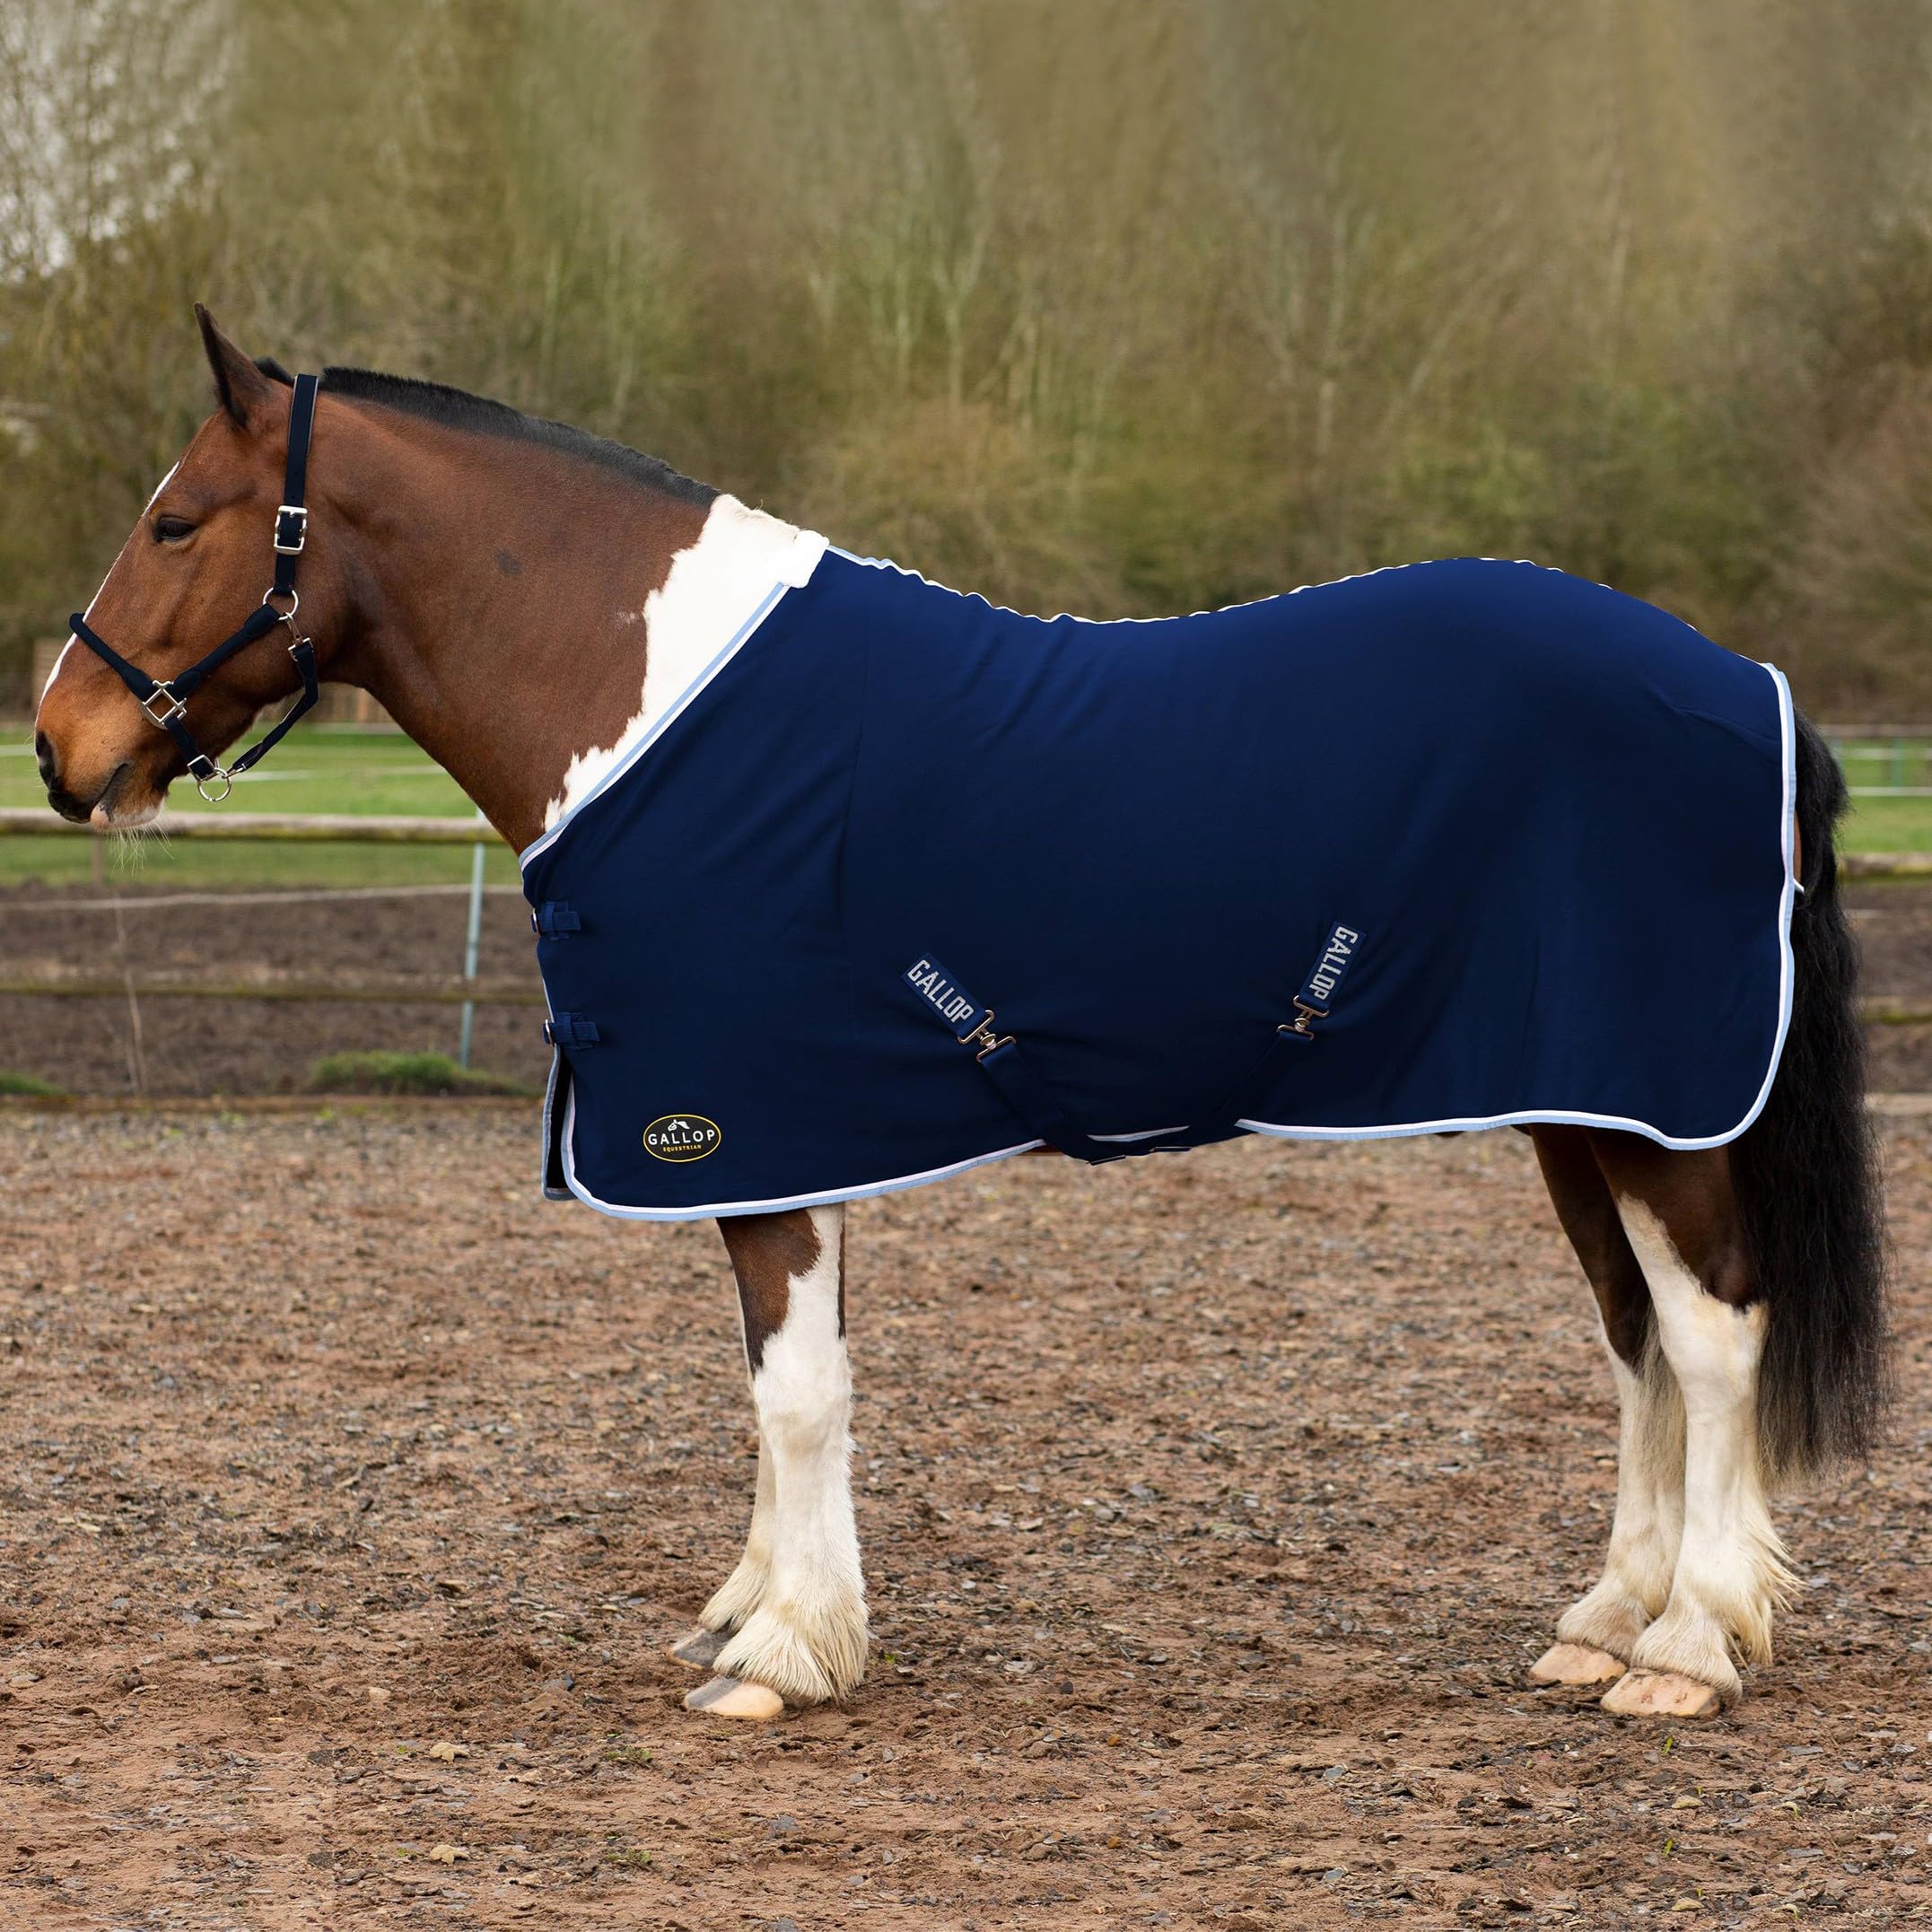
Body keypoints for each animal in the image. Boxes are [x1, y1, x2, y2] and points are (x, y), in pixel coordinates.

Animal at [33, 308, 1887, 1726]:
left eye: (180, 520)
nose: (60, 746)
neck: (649, 706)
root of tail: (1743, 688)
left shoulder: (750, 1122)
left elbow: (793, 1388)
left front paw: (779, 1654)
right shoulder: (789, 1128)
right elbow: (792, 1381)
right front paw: (769, 1611)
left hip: (1652, 1107)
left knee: (1710, 1335)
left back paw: (1689, 1645)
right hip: (1583, 1102)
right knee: (1634, 1337)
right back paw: (1603, 1623)